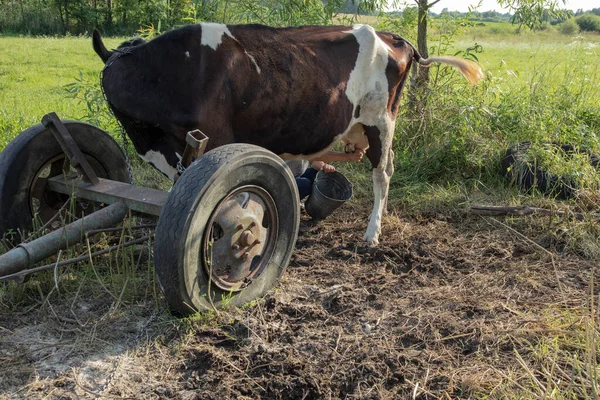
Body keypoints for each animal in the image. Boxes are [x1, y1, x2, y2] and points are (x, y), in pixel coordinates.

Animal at [91, 24, 480, 247]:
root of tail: (391, 36)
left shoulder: (212, 143)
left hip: (380, 119)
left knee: (381, 174)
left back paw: (372, 233)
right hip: (363, 126)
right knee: (389, 165)